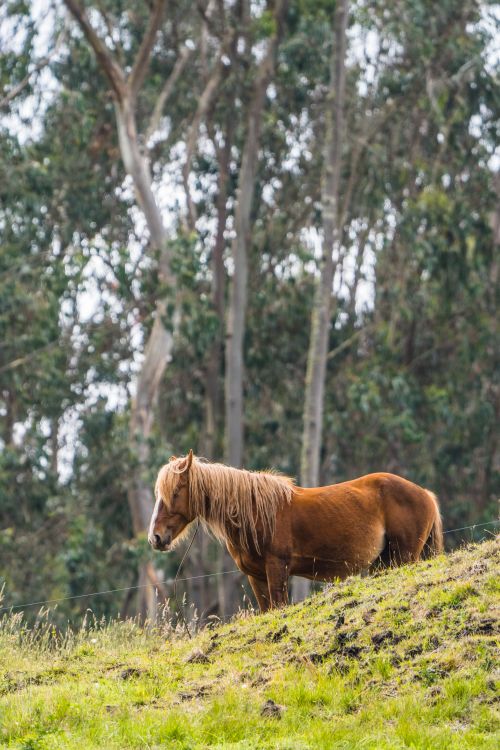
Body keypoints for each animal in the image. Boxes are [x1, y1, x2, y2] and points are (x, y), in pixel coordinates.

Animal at [148, 451, 443, 612]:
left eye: (176, 491)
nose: (156, 537)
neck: (254, 512)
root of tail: (425, 494)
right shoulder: (256, 576)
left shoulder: (277, 569)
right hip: (384, 562)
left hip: (403, 559)